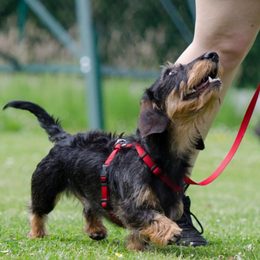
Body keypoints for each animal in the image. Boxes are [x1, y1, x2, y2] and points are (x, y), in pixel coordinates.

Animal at [3, 51, 221, 252]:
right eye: (170, 72)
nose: (212, 54)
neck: (154, 156)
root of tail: (64, 138)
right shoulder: (131, 206)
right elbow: (151, 217)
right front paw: (171, 231)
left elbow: (140, 229)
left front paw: (137, 245)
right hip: (45, 187)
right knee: (37, 211)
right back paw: (36, 233)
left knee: (89, 207)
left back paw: (96, 229)